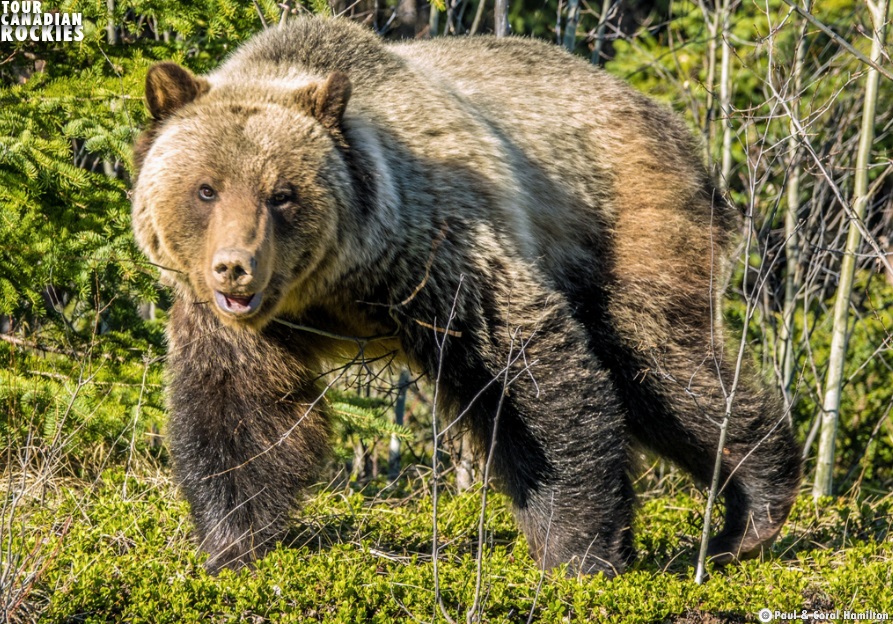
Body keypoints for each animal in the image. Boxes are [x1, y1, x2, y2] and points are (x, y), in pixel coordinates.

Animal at [131, 15, 800, 576]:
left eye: (283, 194)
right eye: (207, 188)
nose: (234, 269)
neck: (338, 283)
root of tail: (668, 121)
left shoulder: (440, 254)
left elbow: (530, 379)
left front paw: (577, 551)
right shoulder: (252, 326)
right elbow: (239, 415)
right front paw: (232, 546)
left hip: (625, 223)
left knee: (661, 366)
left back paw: (750, 515)